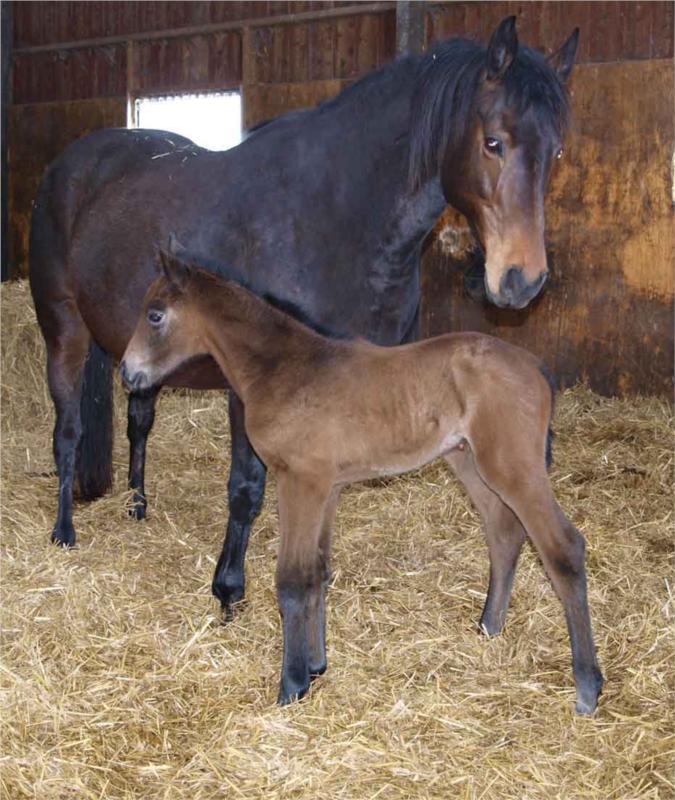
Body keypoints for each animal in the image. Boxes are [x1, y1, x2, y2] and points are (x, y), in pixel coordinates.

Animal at [27, 17, 580, 620]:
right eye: (493, 142)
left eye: (556, 152)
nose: (522, 280)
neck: (331, 216)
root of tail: (70, 165)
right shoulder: (247, 387)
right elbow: (246, 486)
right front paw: (228, 589)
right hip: (65, 332)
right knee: (69, 430)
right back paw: (62, 530)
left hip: (141, 360)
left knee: (138, 422)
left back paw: (137, 505)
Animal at [119, 253, 604, 716]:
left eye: (155, 315)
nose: (127, 373)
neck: (287, 368)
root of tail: (535, 365)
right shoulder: (327, 488)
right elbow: (317, 572)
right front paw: (316, 667)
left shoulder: (301, 482)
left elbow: (292, 580)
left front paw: (291, 685)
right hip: (469, 461)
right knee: (504, 535)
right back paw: (489, 627)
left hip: (513, 467)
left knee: (563, 549)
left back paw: (587, 687)